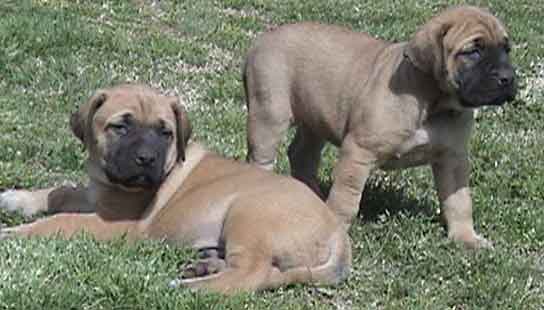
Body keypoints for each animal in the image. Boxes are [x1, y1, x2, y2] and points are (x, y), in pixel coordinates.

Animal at [0, 83, 350, 294]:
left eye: (165, 132)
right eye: (120, 126)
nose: (146, 159)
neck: (108, 180)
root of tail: (338, 233)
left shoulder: (116, 224)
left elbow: (60, 221)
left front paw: (13, 232)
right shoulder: (94, 194)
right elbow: (59, 191)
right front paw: (16, 199)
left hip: (250, 212)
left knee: (250, 274)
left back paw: (187, 286)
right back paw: (205, 264)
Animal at [244, 5, 516, 249]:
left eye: (506, 49)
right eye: (473, 51)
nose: (508, 77)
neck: (433, 102)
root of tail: (263, 39)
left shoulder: (453, 158)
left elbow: (459, 200)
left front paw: (466, 237)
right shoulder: (358, 152)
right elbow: (346, 200)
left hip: (314, 118)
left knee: (301, 155)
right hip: (269, 115)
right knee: (261, 159)